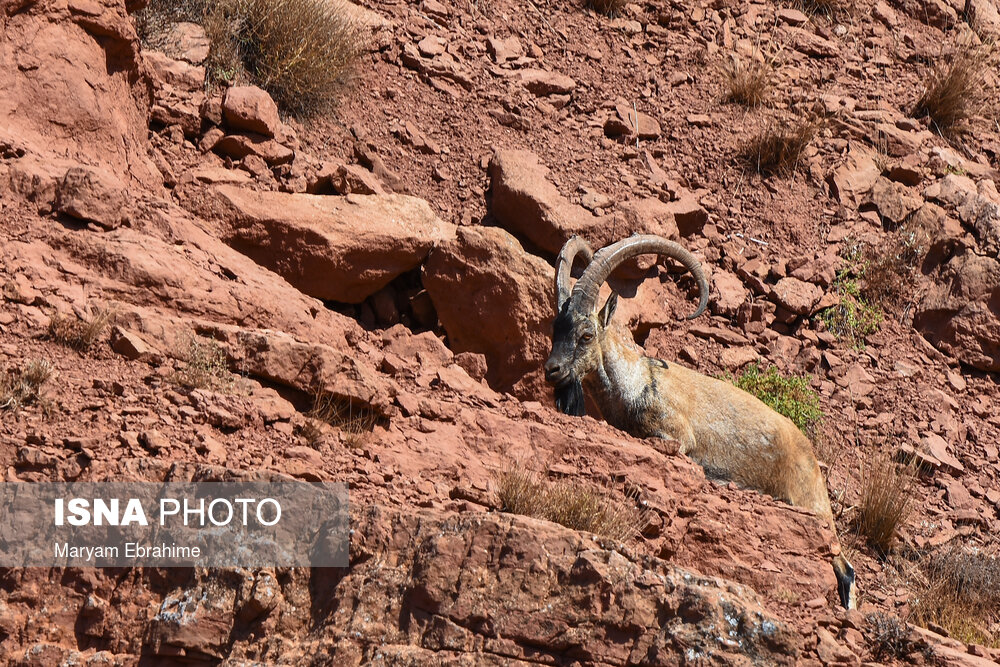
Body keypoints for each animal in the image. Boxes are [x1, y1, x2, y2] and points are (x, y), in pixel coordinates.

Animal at [544, 235, 856, 612]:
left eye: (587, 334)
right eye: (556, 328)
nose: (552, 370)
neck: (637, 382)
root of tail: (810, 453)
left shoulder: (677, 433)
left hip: (811, 502)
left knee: (845, 569)